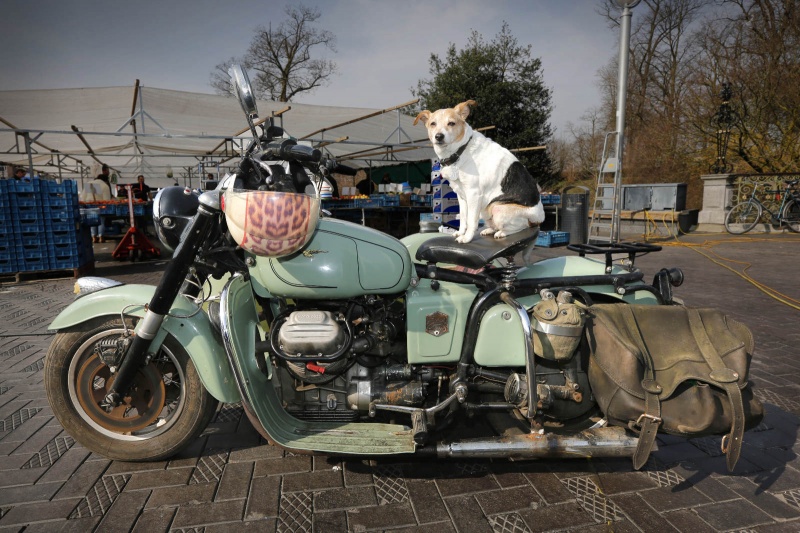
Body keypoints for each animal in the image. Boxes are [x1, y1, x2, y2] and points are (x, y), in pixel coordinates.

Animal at [412, 99, 544, 243]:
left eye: (451, 123)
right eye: (433, 124)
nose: (439, 136)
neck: (460, 151)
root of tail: (539, 219)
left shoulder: (473, 194)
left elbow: (471, 221)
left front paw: (467, 238)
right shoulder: (461, 195)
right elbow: (463, 218)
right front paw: (460, 233)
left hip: (498, 208)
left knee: (522, 226)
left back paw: (502, 233)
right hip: (485, 209)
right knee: (494, 225)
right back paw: (489, 230)